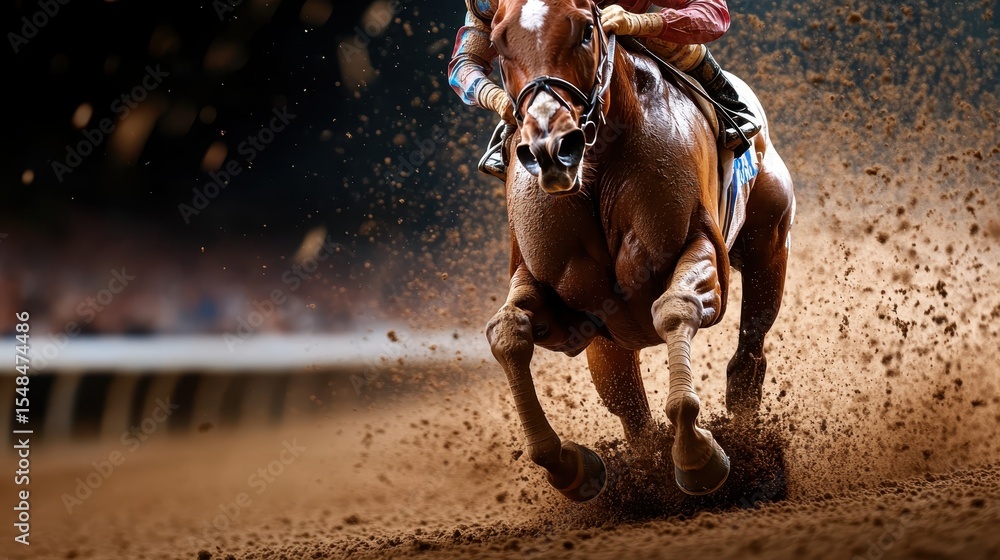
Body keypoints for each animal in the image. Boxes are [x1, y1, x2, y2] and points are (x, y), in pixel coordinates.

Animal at [482, 0, 796, 501]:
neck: (596, 167)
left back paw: (750, 445)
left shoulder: (701, 248)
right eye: (499, 43)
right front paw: (570, 466)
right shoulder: (560, 304)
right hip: (609, 345)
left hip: (770, 244)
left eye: (586, 31)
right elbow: (508, 333)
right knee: (630, 409)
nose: (551, 148)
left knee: (750, 348)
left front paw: (698, 456)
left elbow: (675, 307)